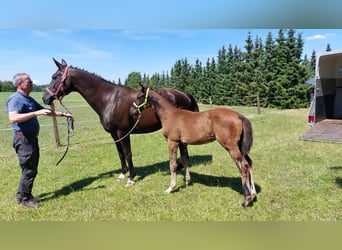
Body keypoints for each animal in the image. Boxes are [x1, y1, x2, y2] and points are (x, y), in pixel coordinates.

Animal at [41, 59, 199, 188]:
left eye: (55, 77)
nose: (45, 98)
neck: (109, 99)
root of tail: (184, 94)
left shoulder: (123, 132)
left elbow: (128, 154)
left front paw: (131, 178)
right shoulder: (114, 134)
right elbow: (120, 154)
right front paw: (123, 174)